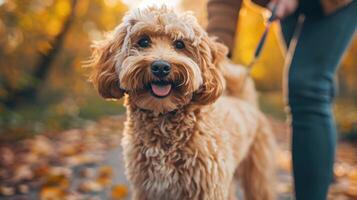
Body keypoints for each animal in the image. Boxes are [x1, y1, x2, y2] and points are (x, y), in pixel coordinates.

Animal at [88, 6, 276, 200]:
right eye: (143, 41)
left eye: (179, 44)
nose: (161, 67)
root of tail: (243, 101)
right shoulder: (148, 188)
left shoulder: (207, 188)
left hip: (257, 174)